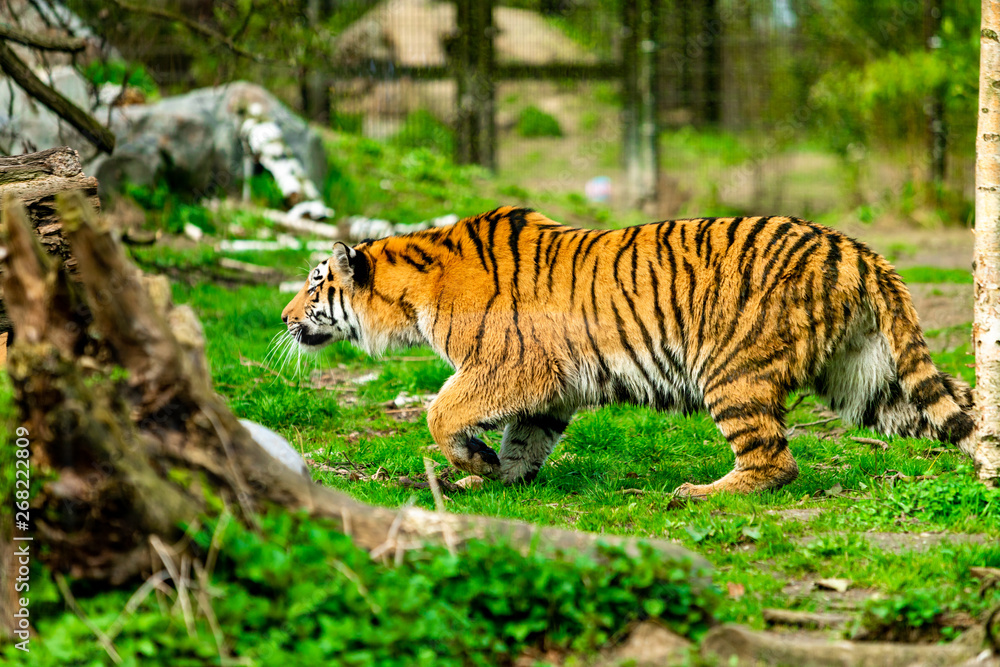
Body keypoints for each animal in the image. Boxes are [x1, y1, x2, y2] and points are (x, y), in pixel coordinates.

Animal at [280, 206, 975, 496]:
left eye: (315, 284)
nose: (283, 319)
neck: (412, 292)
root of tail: (854, 249)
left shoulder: (512, 367)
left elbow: (439, 410)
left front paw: (473, 462)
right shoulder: (549, 389)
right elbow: (524, 440)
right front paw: (495, 478)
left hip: (731, 372)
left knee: (776, 462)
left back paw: (701, 493)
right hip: (868, 378)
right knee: (960, 409)